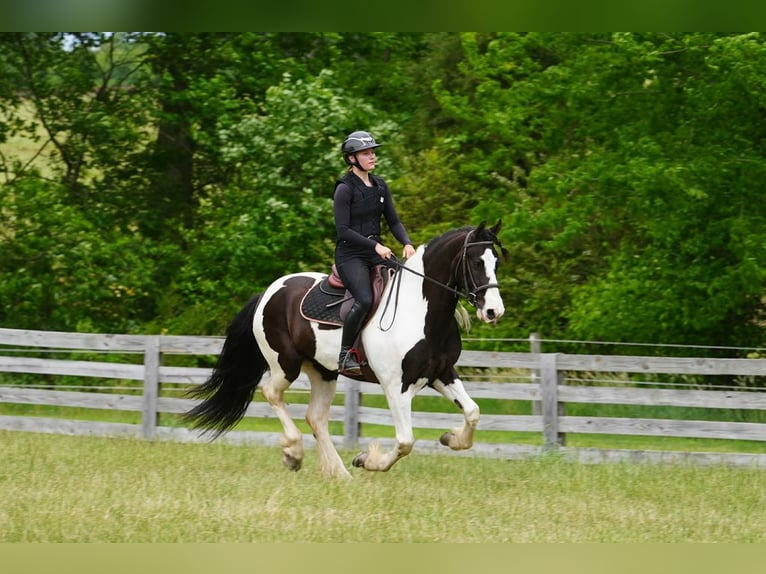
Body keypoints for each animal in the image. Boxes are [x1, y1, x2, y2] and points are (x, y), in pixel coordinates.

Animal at [183, 220, 507, 479]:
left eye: (496, 263)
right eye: (476, 262)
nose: (494, 311)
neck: (419, 311)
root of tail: (268, 292)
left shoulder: (442, 373)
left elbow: (473, 412)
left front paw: (450, 438)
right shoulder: (396, 386)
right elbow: (405, 441)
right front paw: (367, 460)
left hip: (323, 371)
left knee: (316, 417)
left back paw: (337, 472)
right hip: (285, 365)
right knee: (272, 393)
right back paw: (294, 454)